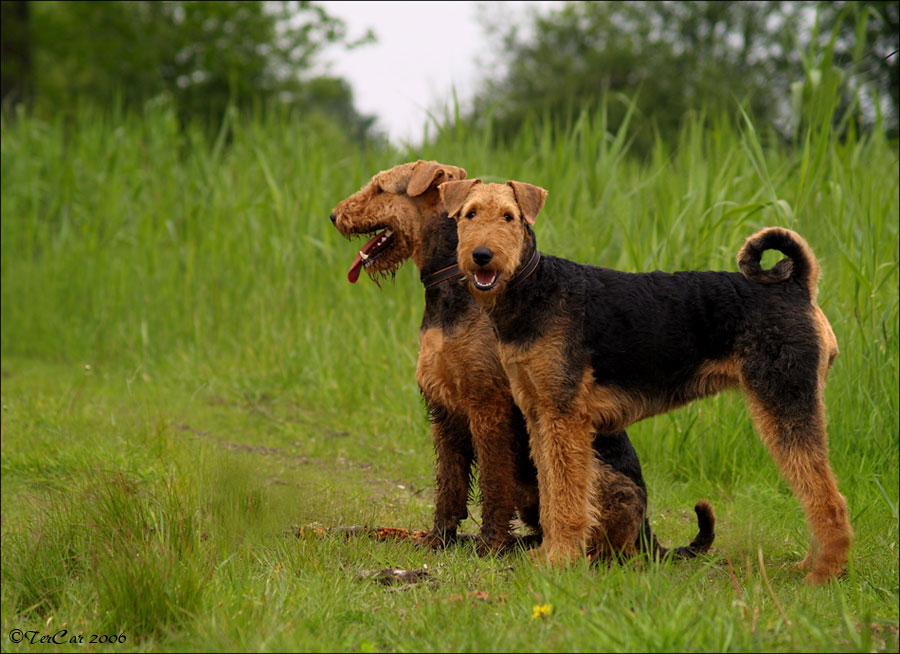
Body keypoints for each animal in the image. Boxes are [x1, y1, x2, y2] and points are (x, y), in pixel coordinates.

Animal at [326, 163, 712, 560]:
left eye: (380, 188)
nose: (334, 216)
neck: (454, 285)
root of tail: (649, 532)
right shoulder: (443, 408)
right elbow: (449, 484)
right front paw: (438, 538)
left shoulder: (487, 404)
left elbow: (494, 482)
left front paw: (490, 543)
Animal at [446, 177, 856, 588]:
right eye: (469, 214)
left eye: (509, 216)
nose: (482, 255)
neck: (536, 289)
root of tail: (797, 285)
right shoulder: (539, 414)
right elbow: (550, 491)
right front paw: (548, 555)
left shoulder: (565, 416)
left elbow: (566, 497)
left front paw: (559, 561)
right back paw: (808, 565)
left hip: (785, 401)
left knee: (828, 498)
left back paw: (823, 574)